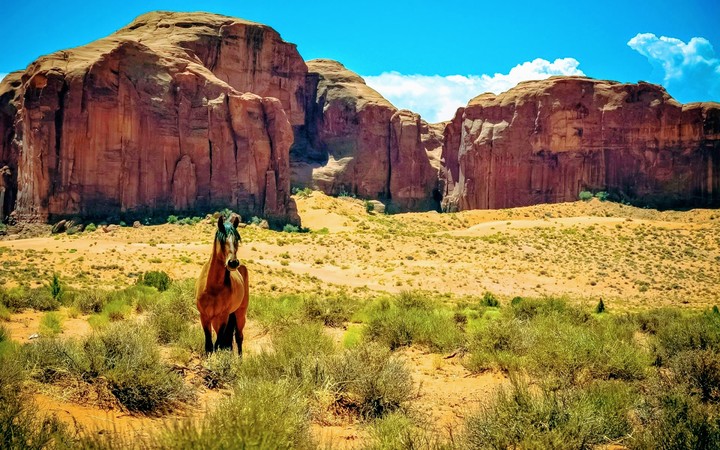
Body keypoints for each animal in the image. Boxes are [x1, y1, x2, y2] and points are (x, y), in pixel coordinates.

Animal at [195, 214, 249, 355]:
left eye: (237, 239)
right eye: (222, 239)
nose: (233, 263)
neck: (213, 288)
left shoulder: (223, 317)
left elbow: (218, 344)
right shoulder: (204, 317)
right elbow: (209, 346)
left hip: (240, 313)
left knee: (239, 337)